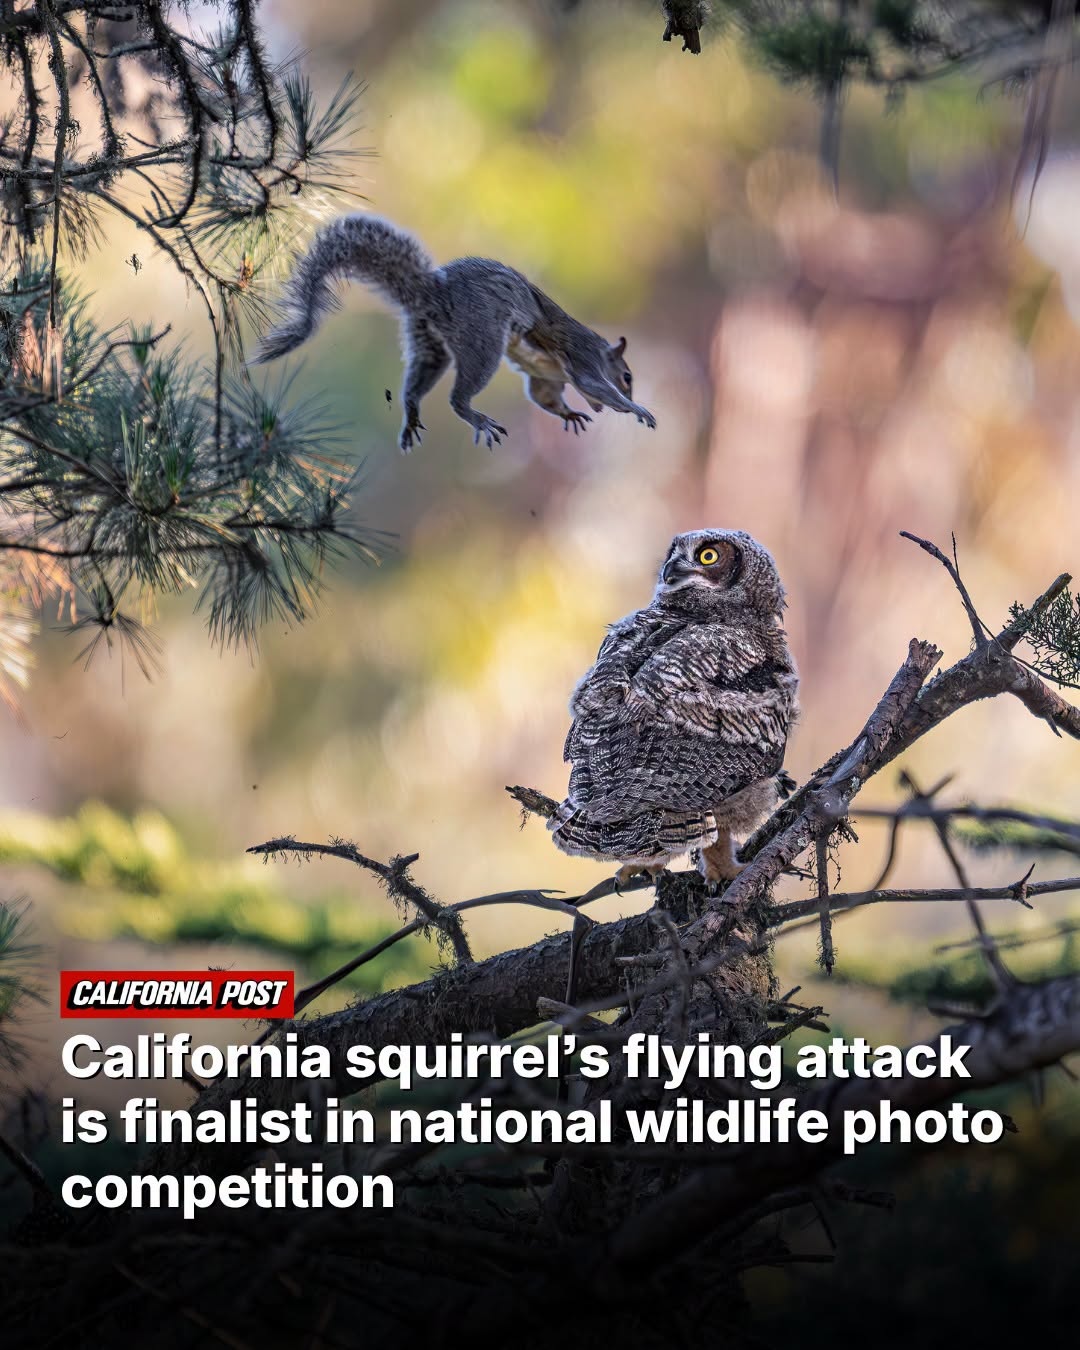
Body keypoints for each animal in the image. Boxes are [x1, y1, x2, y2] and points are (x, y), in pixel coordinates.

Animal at [250, 215, 657, 451]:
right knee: (457, 397)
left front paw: (570, 414)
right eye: (627, 376)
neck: (598, 350)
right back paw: (475, 417)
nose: (628, 393)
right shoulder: (583, 357)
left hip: (428, 344)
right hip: (483, 343)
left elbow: (545, 397)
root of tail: (433, 293)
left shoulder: (547, 377)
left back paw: (411, 416)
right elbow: (591, 384)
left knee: (416, 383)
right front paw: (638, 409)